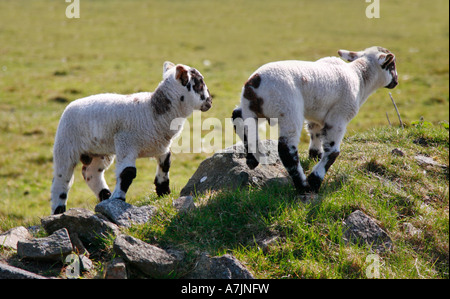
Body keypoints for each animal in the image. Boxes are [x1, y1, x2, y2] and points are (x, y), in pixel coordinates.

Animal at [50, 61, 212, 216]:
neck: (152, 111)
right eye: (199, 83)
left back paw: (105, 195)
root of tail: (71, 105)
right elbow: (127, 172)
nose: (210, 101)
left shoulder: (160, 146)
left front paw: (163, 192)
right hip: (65, 145)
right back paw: (59, 210)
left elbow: (165, 164)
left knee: (91, 173)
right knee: (62, 179)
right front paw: (118, 199)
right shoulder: (126, 143)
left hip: (99, 151)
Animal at [232, 45, 398, 195]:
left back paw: (253, 158)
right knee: (287, 150)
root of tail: (254, 83)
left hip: (253, 108)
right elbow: (332, 151)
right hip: (287, 109)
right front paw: (315, 180)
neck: (360, 77)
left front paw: (314, 155)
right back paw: (303, 186)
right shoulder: (339, 115)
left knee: (238, 117)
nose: (396, 82)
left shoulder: (317, 115)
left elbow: (315, 133)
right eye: (392, 65)